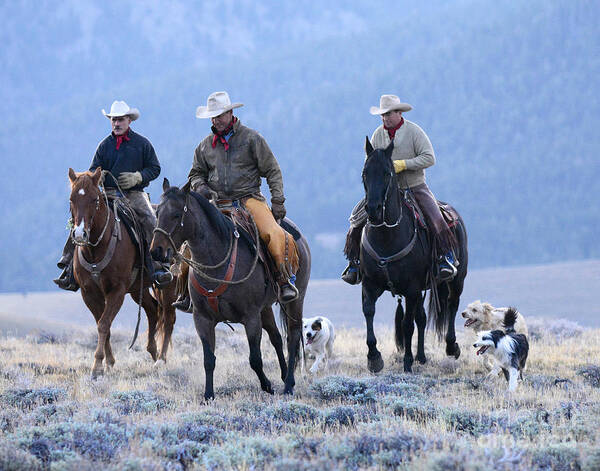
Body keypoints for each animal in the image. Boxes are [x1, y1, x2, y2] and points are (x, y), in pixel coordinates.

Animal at [67, 168, 177, 378]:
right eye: (71, 199)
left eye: (95, 199)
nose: (79, 235)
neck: (96, 249)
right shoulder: (89, 293)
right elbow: (104, 325)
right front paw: (109, 362)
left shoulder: (117, 291)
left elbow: (103, 324)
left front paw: (97, 366)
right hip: (138, 289)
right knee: (153, 310)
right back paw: (152, 352)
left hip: (167, 286)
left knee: (168, 318)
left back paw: (162, 359)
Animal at [150, 179, 312, 400]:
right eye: (158, 213)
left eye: (176, 214)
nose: (156, 251)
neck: (216, 260)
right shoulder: (202, 319)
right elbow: (209, 359)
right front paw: (208, 395)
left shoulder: (251, 317)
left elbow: (255, 359)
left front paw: (267, 386)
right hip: (265, 309)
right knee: (277, 338)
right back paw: (285, 374)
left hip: (296, 299)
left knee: (293, 337)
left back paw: (288, 385)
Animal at [358, 138, 466, 374]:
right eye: (365, 172)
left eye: (388, 172)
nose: (373, 209)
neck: (387, 236)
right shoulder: (369, 284)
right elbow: (368, 312)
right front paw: (374, 357)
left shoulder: (412, 289)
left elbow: (407, 325)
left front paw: (407, 361)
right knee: (422, 318)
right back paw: (422, 356)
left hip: (457, 279)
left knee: (452, 305)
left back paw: (451, 346)